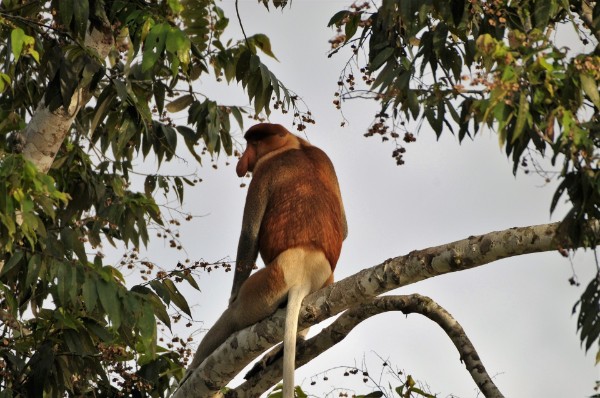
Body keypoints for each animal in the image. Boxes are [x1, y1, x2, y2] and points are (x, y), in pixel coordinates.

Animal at [185, 123, 350, 396]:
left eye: (253, 144)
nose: (242, 161)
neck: (295, 145)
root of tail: (305, 273)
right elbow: (346, 229)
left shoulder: (264, 169)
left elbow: (249, 233)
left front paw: (232, 294)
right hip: (322, 283)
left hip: (269, 283)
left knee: (233, 316)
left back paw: (190, 371)